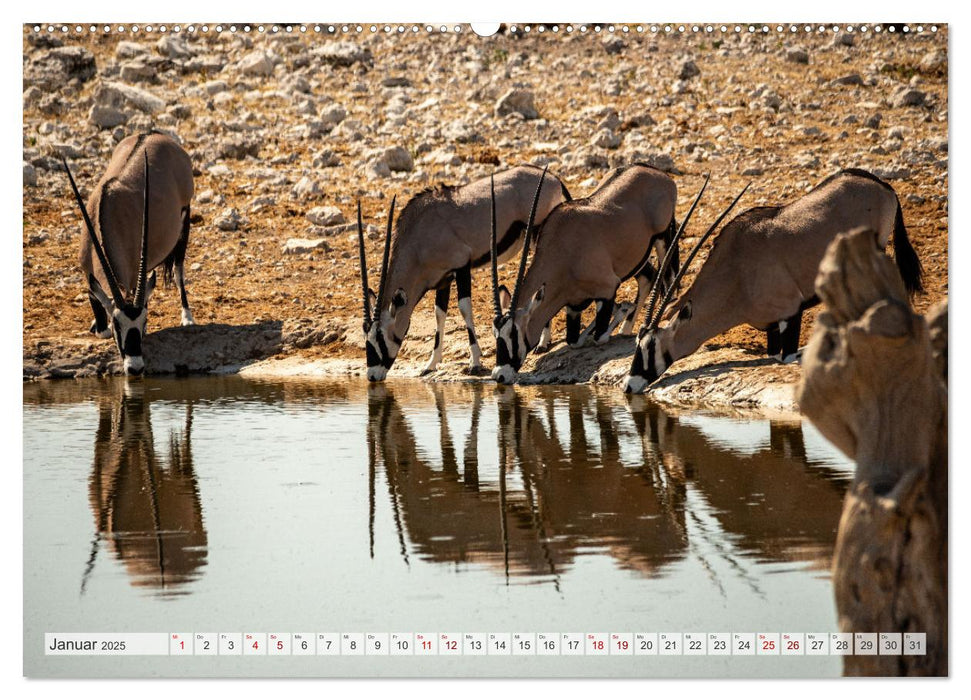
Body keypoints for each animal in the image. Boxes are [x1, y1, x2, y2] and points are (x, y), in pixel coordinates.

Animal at [64, 129, 196, 374]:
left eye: (144, 322)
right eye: (117, 324)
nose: (135, 367)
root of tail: (154, 134)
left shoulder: (135, 275)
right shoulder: (87, 271)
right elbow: (95, 297)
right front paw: (98, 326)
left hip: (185, 217)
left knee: (178, 270)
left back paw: (187, 317)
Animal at [356, 165, 568, 382]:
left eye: (380, 337)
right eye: (366, 338)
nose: (372, 375)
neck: (419, 236)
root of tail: (553, 179)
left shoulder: (462, 267)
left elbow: (464, 308)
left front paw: (474, 363)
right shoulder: (442, 280)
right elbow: (439, 314)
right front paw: (431, 364)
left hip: (535, 237)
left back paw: (543, 342)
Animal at [490, 162, 688, 386]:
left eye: (514, 334)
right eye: (496, 334)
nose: (499, 375)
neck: (564, 251)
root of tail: (657, 173)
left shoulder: (609, 287)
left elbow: (599, 336)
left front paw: (623, 308)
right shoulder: (573, 305)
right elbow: (573, 341)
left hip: (664, 238)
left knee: (668, 278)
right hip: (637, 257)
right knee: (648, 276)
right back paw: (626, 330)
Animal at [624, 167, 928, 392]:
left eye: (650, 346)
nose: (628, 385)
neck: (737, 273)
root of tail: (881, 185)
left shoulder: (790, 314)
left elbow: (788, 357)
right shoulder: (770, 326)